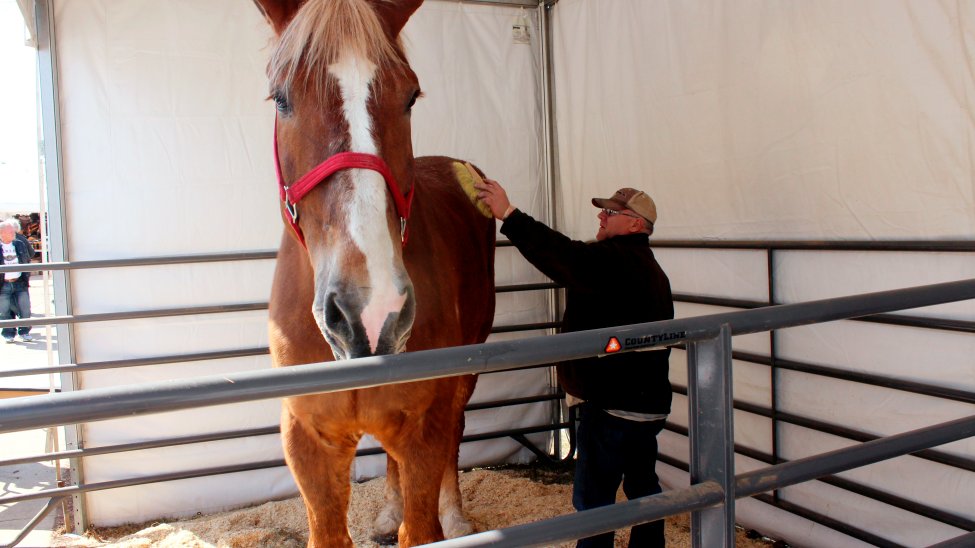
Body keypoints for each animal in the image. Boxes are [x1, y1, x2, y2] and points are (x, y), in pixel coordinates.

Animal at [254, 1, 496, 548]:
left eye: (409, 96)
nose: (371, 312)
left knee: (456, 428)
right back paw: (388, 511)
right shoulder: (308, 442)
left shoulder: (424, 429)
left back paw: (456, 515)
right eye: (282, 99)